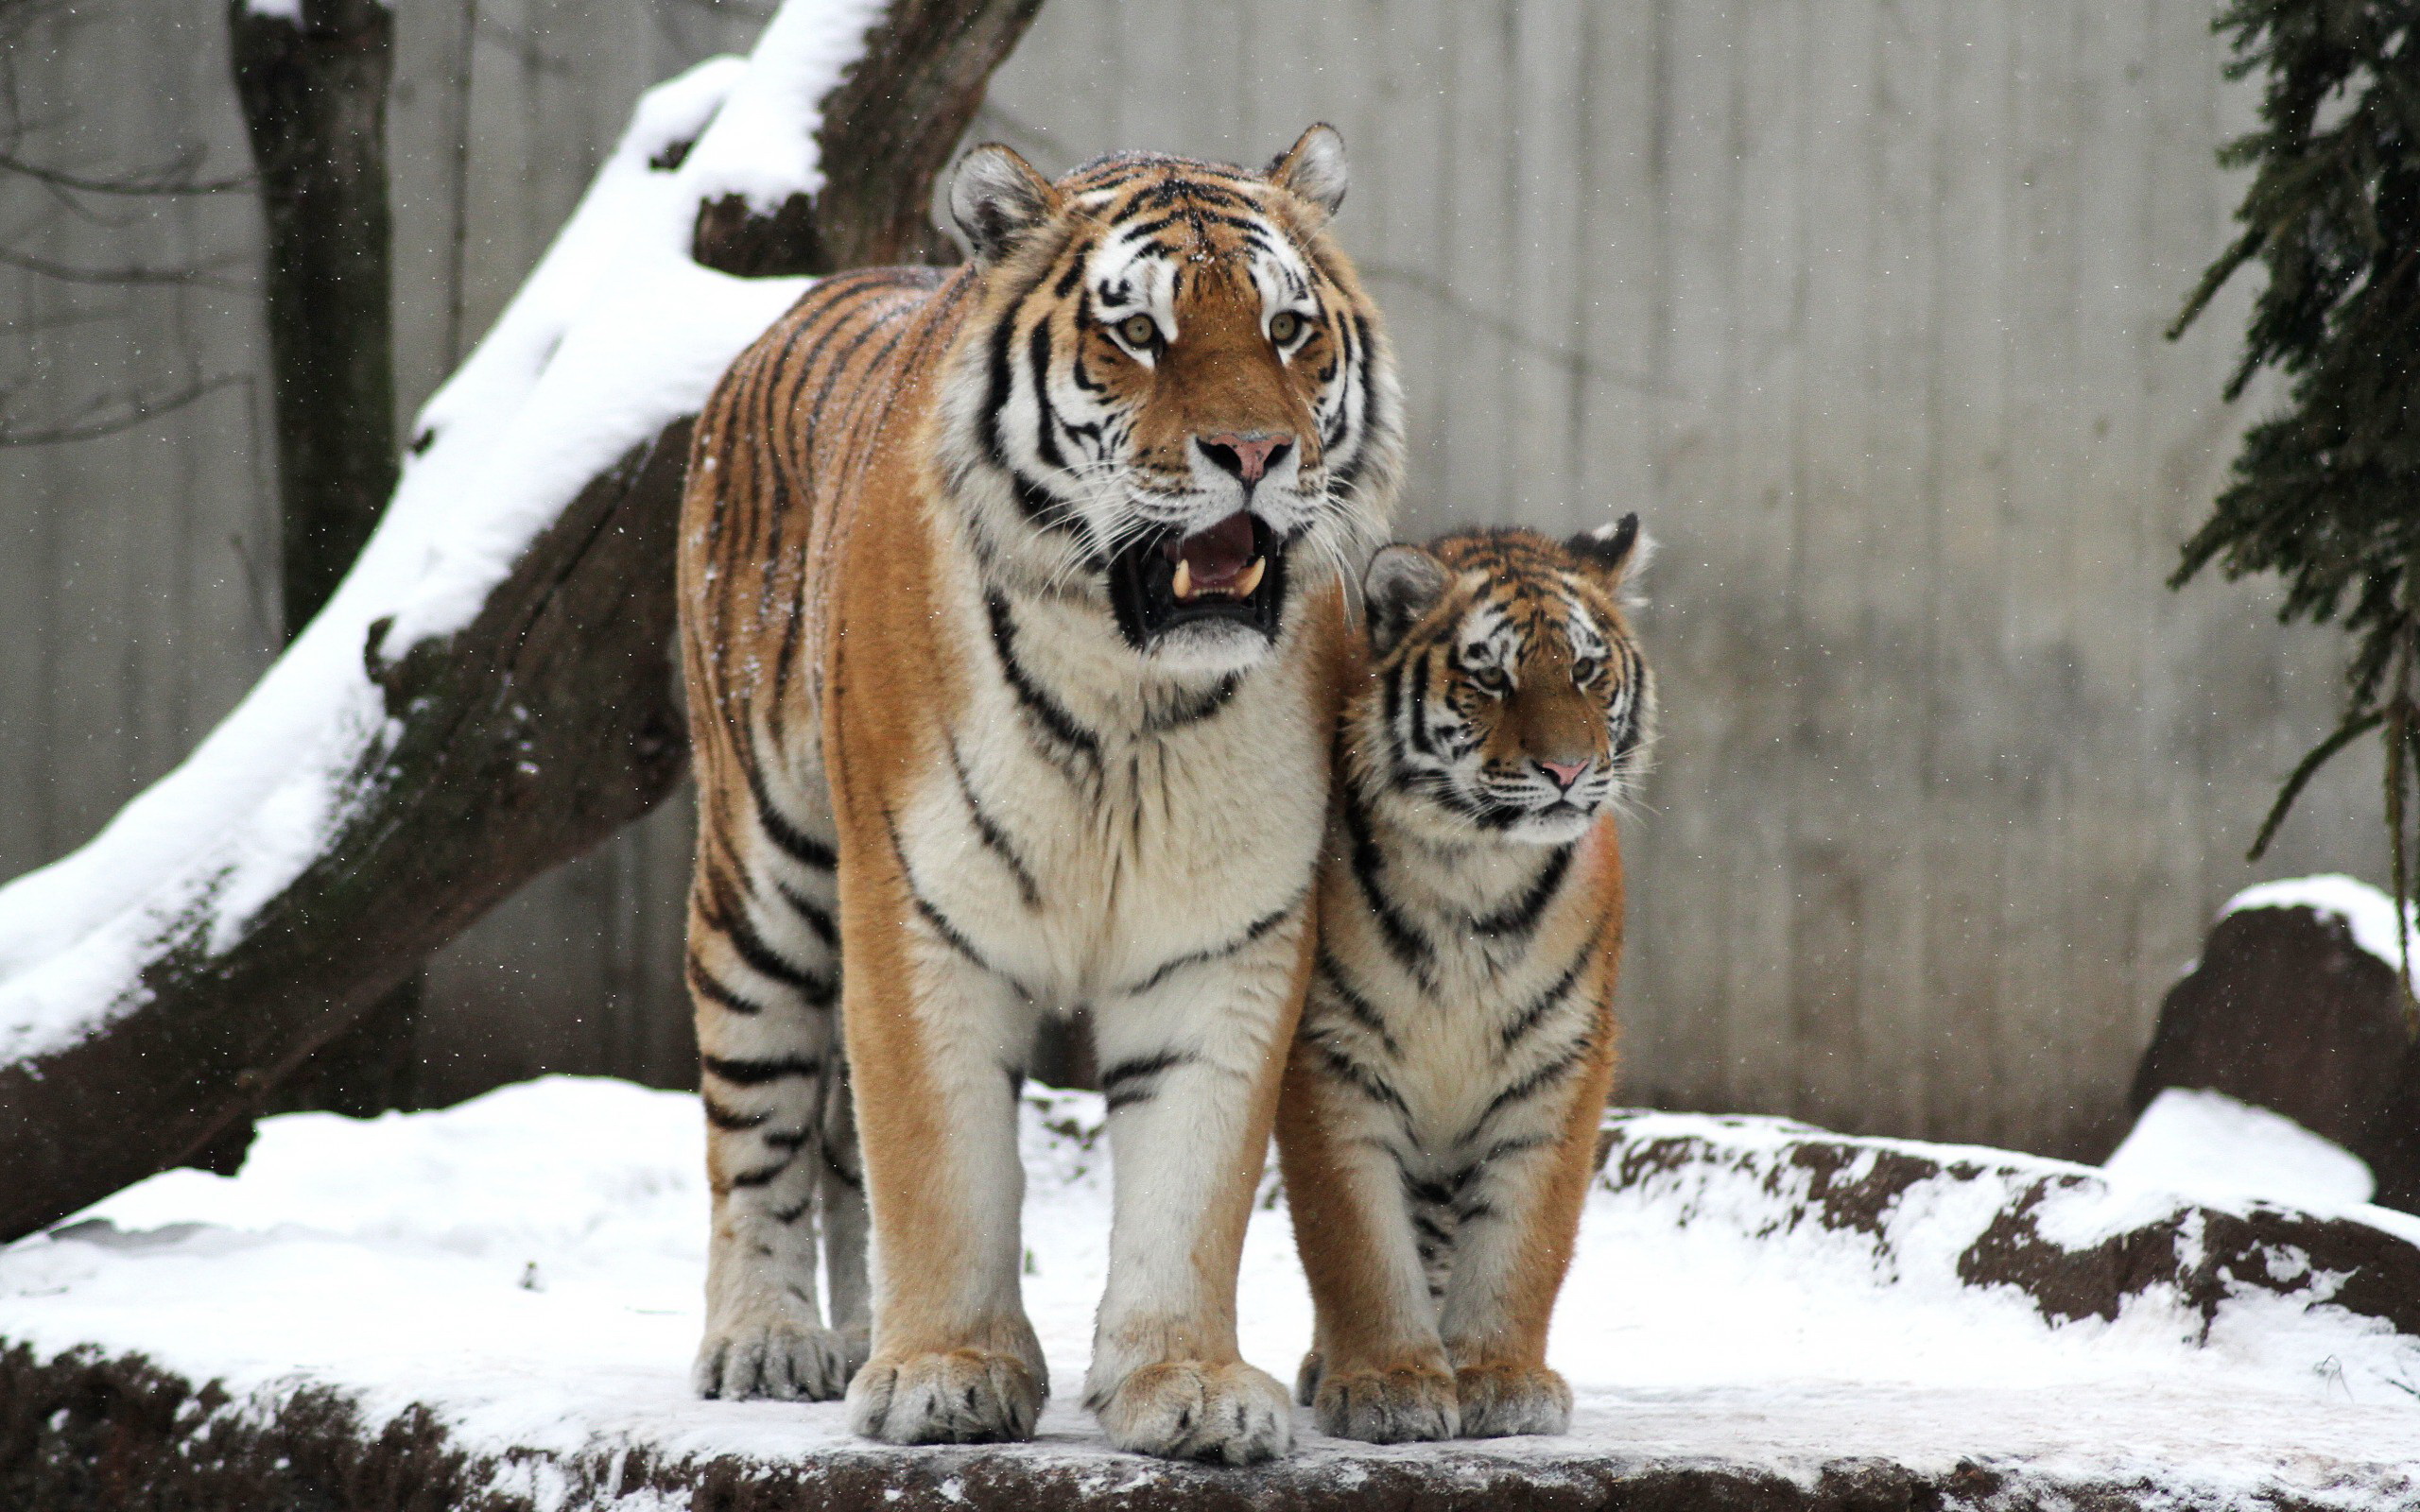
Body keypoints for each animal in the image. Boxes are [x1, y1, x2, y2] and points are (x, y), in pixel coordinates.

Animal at [677, 132, 1403, 1461]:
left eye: (1285, 330)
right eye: (1140, 335)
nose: (1255, 454)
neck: (1130, 694)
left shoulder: (1223, 934)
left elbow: (1189, 1179)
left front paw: (1185, 1383)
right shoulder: (916, 909)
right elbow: (938, 1162)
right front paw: (944, 1372)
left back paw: (854, 1335)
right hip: (764, 871)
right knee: (757, 1119)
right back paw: (767, 1340)